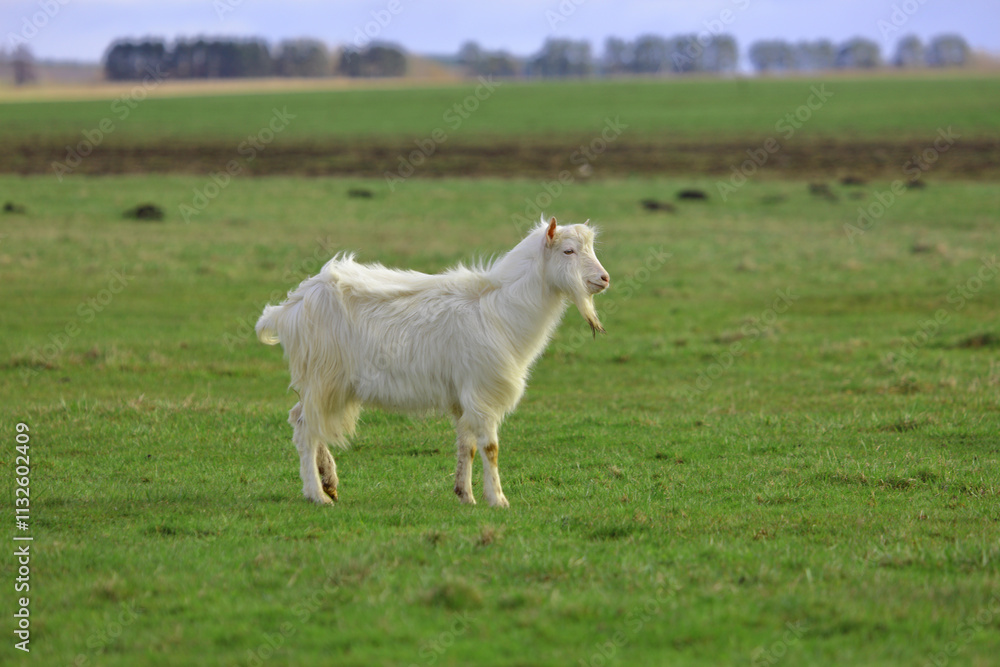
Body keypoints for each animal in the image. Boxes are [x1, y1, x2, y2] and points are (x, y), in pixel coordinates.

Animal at [256, 216, 610, 507]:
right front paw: (498, 499)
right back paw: (317, 494)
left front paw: (465, 494)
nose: (604, 278)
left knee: (301, 418)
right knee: (306, 429)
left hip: (322, 382)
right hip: (324, 377)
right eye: (568, 251)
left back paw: (328, 480)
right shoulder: (482, 390)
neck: (498, 306)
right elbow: (490, 447)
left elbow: (467, 445)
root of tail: (290, 306)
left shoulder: (464, 394)